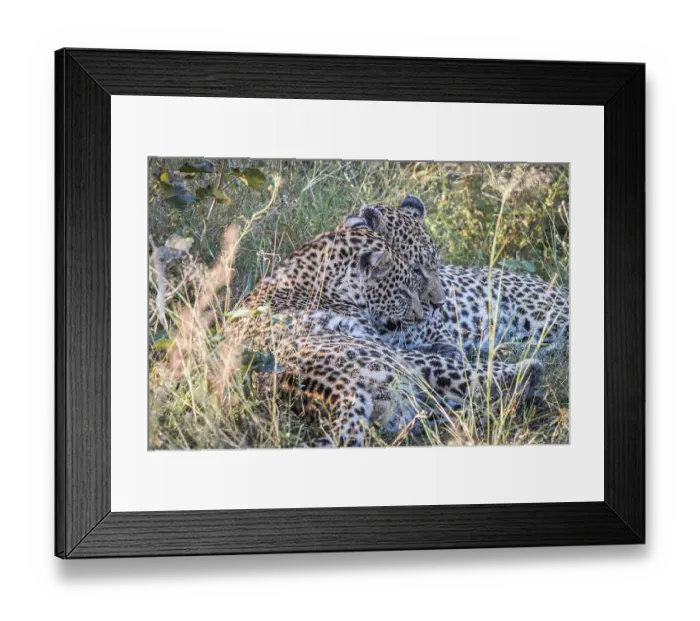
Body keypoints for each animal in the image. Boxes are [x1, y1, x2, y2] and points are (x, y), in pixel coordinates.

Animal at [224, 227, 543, 446]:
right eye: (403, 290)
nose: (426, 312)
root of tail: (332, 389)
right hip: (393, 362)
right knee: (473, 380)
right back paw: (529, 372)